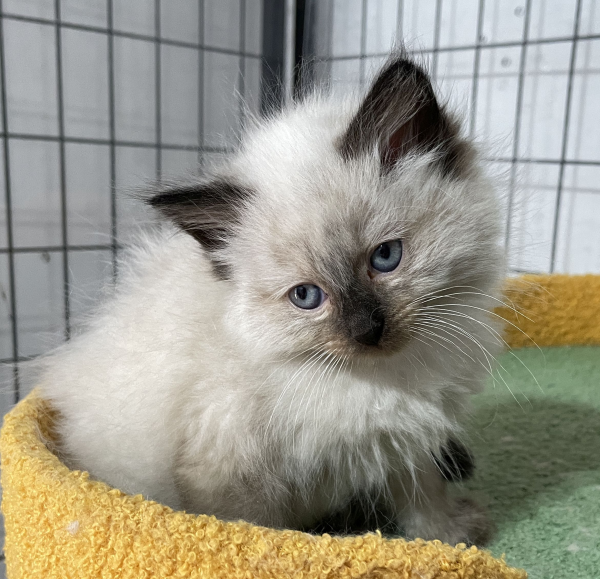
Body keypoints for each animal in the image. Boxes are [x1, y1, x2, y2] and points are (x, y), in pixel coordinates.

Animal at [39, 52, 504, 548]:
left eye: (386, 257)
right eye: (306, 296)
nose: (367, 331)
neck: (377, 381)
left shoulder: (405, 439)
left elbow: (424, 497)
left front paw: (450, 537)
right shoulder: (228, 468)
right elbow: (253, 532)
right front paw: (288, 551)